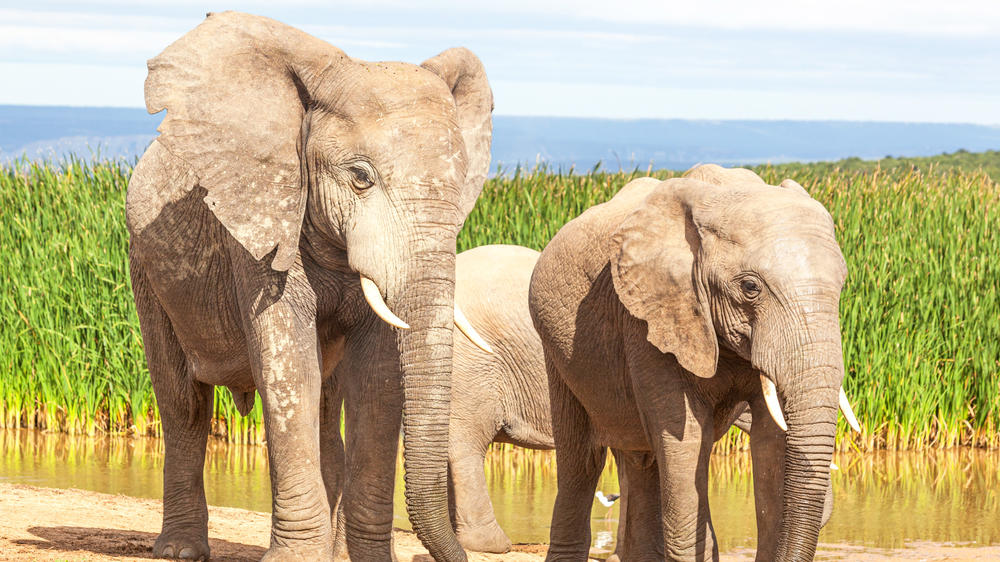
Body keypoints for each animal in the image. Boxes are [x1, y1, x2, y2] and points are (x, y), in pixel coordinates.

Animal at [126, 12, 493, 561]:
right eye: (361, 177)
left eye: (461, 182)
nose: (461, 553)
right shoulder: (261, 222)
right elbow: (290, 370)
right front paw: (292, 557)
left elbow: (377, 381)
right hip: (145, 269)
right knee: (183, 407)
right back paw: (180, 551)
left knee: (325, 411)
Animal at [528, 164, 861, 561]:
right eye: (750, 287)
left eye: (842, 284)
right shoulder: (650, 318)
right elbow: (685, 439)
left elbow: (771, 442)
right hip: (556, 349)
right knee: (582, 462)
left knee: (643, 461)